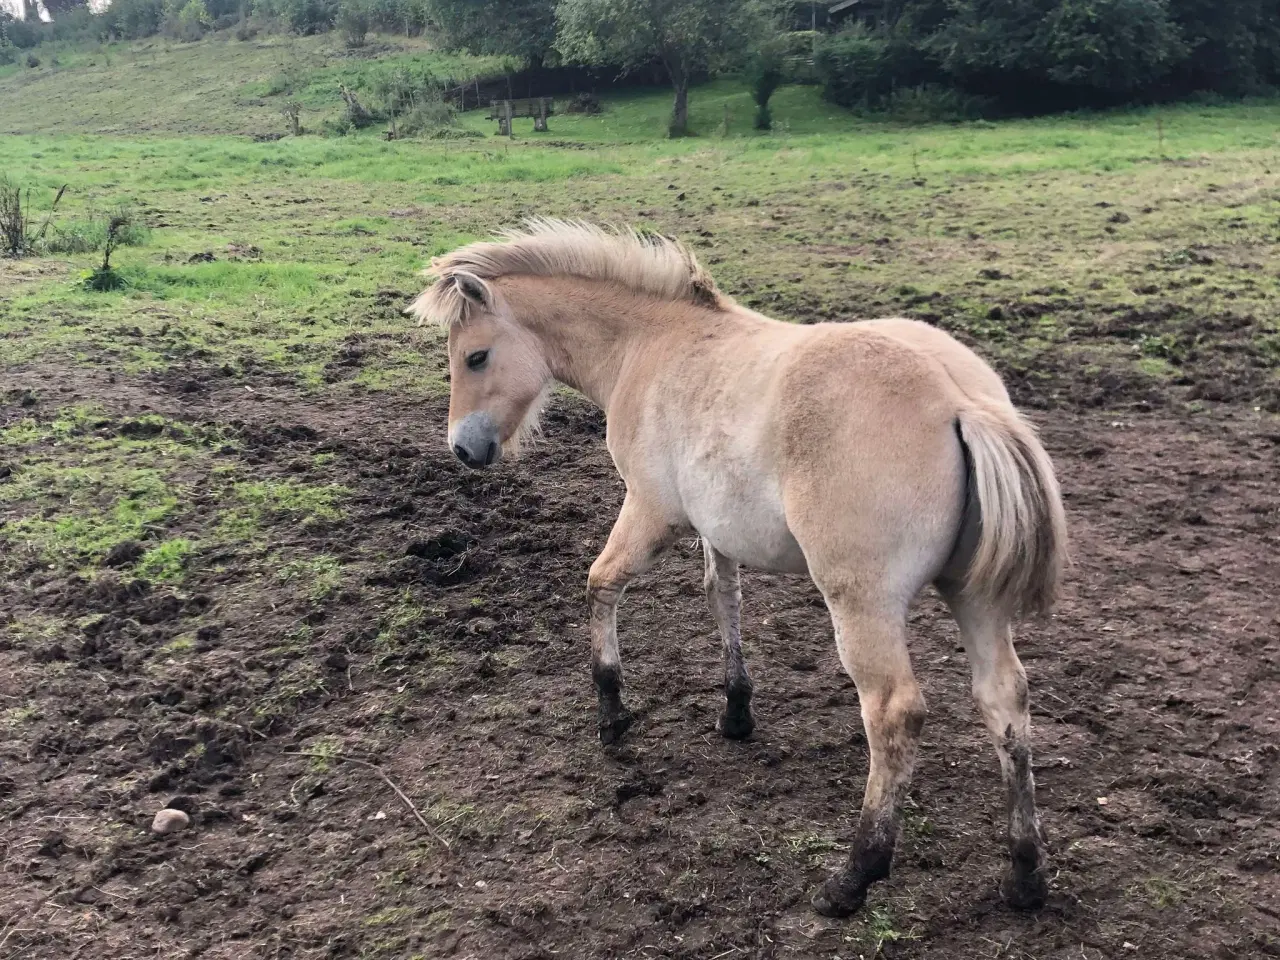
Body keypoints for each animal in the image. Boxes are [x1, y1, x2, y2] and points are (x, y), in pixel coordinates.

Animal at [412, 221, 1070, 921]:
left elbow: (602, 583)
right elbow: (722, 598)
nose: (463, 449)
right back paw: (1024, 874)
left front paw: (612, 713)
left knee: (894, 713)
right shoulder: (718, 526)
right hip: (976, 596)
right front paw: (735, 711)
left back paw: (854, 876)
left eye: (475, 357)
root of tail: (959, 398)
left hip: (862, 602)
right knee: (1004, 699)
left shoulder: (652, 511)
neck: (651, 345)